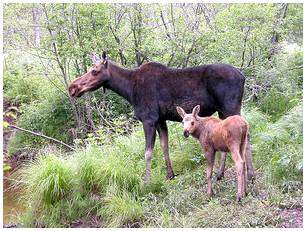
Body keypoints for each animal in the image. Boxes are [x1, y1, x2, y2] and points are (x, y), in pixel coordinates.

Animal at [68, 52, 255, 184]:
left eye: (94, 71)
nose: (72, 87)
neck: (128, 90)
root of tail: (243, 76)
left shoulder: (149, 119)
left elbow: (148, 152)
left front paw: (146, 182)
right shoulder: (160, 120)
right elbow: (164, 146)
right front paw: (170, 175)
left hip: (231, 107)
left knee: (246, 136)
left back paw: (251, 175)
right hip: (223, 111)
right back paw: (220, 174)